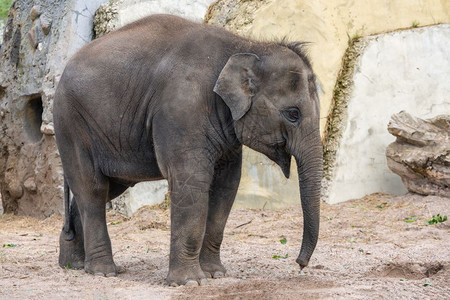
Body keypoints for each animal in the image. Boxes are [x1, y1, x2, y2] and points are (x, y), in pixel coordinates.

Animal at [53, 14, 324, 286]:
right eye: (293, 114)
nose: (300, 264)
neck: (245, 45)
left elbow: (226, 186)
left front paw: (215, 274)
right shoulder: (182, 111)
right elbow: (192, 181)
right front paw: (190, 282)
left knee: (107, 187)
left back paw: (74, 265)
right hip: (72, 123)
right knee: (93, 188)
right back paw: (103, 271)